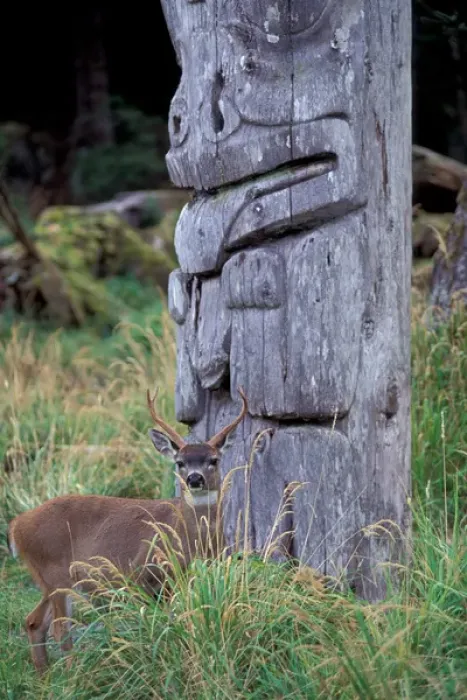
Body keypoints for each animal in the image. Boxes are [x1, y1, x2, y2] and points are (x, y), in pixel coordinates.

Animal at [7, 387, 248, 675]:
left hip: (48, 578)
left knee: (34, 621)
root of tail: (16, 525)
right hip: (56, 572)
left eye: (213, 460)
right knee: (59, 628)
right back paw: (73, 677)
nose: (194, 478)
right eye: (180, 462)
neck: (188, 539)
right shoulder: (142, 573)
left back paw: (45, 677)